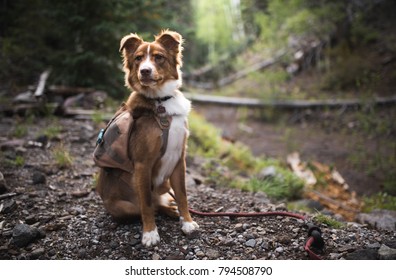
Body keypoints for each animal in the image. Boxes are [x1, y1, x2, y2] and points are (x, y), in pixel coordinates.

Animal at [95, 29, 200, 246]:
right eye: (138, 58)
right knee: (149, 206)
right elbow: (146, 202)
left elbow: (182, 195)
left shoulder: (179, 159)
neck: (161, 103)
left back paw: (172, 210)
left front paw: (187, 222)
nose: (144, 71)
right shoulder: (142, 164)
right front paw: (150, 233)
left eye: (158, 57)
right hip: (123, 207)